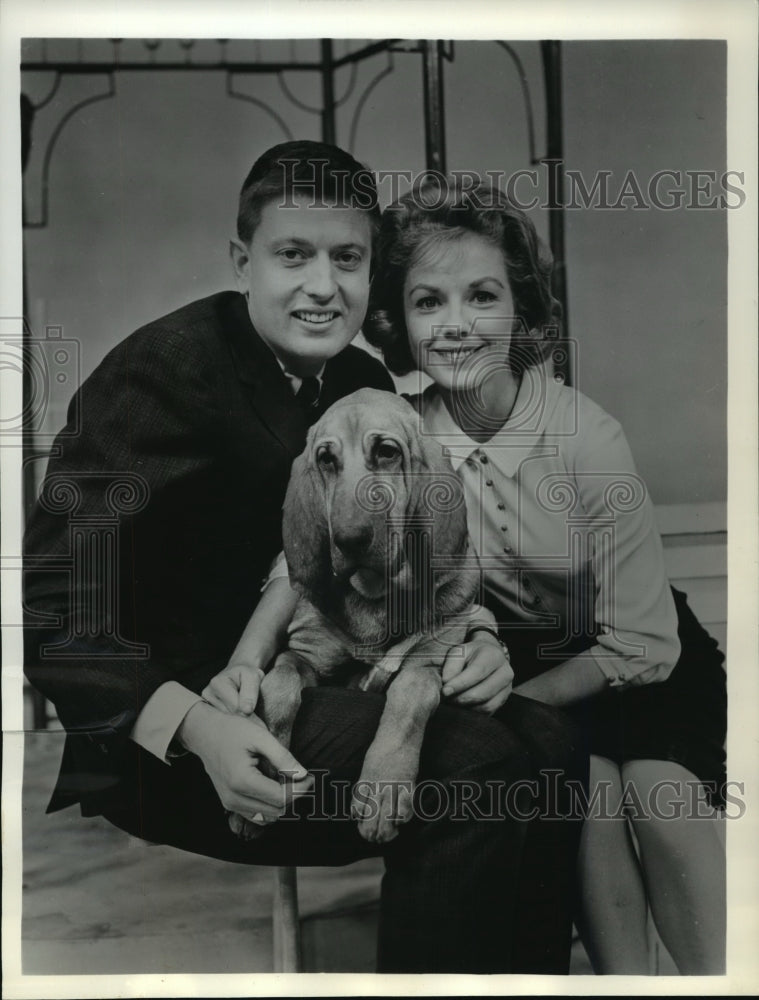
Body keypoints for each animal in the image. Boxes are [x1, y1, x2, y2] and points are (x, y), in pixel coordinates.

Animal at [239, 390, 480, 844]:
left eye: (386, 452)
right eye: (326, 459)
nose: (348, 539)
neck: (376, 596)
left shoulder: (425, 664)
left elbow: (409, 701)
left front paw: (384, 788)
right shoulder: (304, 656)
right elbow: (278, 686)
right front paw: (267, 772)